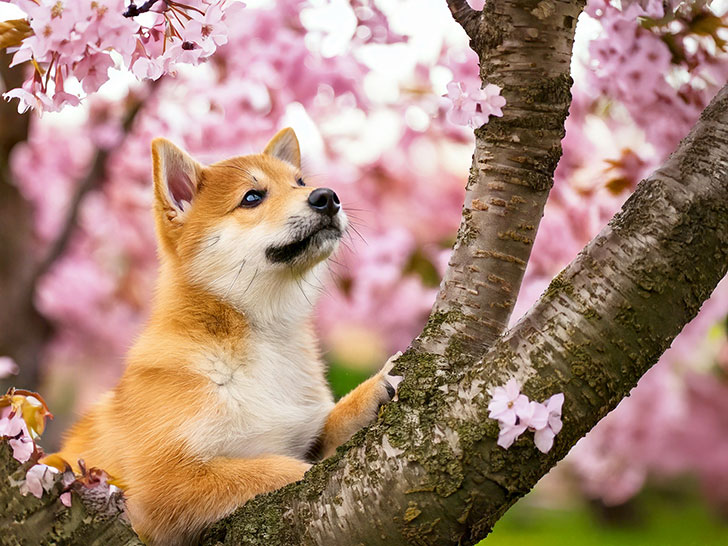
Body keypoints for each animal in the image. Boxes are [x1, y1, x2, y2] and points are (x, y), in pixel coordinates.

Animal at [49, 129, 398, 544]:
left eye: (300, 183)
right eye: (252, 197)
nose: (326, 196)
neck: (264, 338)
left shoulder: (301, 427)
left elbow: (324, 427)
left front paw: (368, 393)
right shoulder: (162, 484)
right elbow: (275, 469)